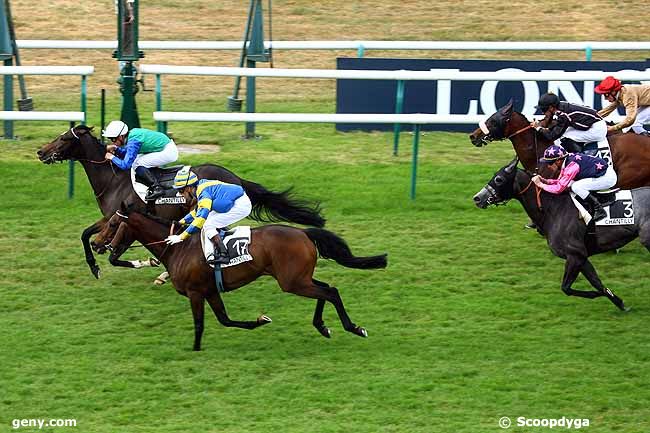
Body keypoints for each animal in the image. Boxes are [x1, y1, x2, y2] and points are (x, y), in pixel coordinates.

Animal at [35, 125, 324, 280]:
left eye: (64, 138)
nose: (41, 152)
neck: (113, 179)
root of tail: (235, 178)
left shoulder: (125, 221)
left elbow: (116, 257)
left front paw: (149, 264)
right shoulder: (110, 218)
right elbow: (85, 235)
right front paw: (94, 265)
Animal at [91, 206, 384, 352]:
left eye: (113, 224)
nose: (95, 243)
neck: (178, 249)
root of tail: (304, 234)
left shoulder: (195, 293)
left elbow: (200, 324)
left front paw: (194, 349)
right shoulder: (210, 291)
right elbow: (225, 319)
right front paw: (260, 320)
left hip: (293, 282)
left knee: (330, 292)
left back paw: (353, 327)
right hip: (300, 278)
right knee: (327, 288)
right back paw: (322, 327)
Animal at [468, 155, 648, 310]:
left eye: (499, 179)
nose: (477, 198)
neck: (554, 209)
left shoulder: (574, 255)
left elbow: (566, 288)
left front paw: (597, 295)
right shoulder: (581, 256)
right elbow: (596, 282)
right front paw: (619, 302)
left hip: (647, 239)